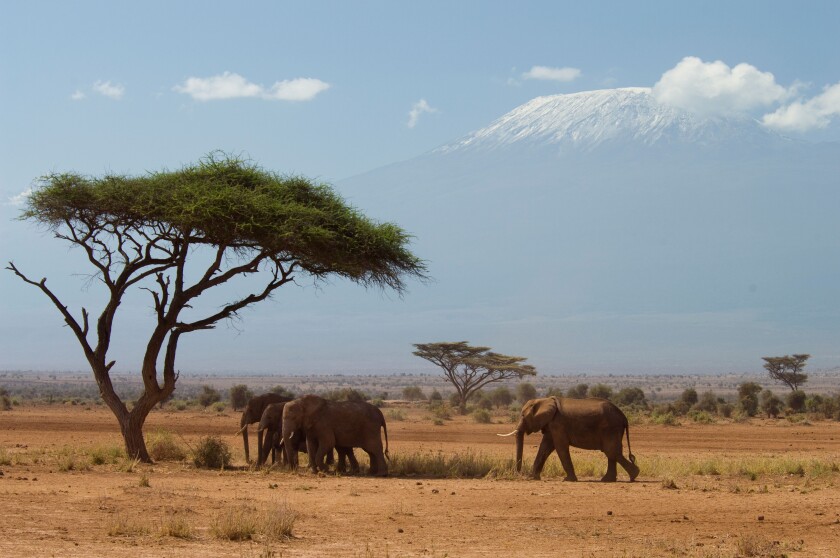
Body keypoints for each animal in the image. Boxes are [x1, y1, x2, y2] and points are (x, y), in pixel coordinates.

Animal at [499, 396, 639, 482]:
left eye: (523, 415)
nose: (519, 474)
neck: (545, 400)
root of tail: (624, 417)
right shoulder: (551, 425)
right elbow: (545, 448)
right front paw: (533, 478)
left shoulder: (558, 424)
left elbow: (560, 447)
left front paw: (568, 480)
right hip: (613, 429)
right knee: (611, 453)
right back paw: (608, 480)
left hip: (611, 428)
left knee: (611, 451)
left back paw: (634, 475)